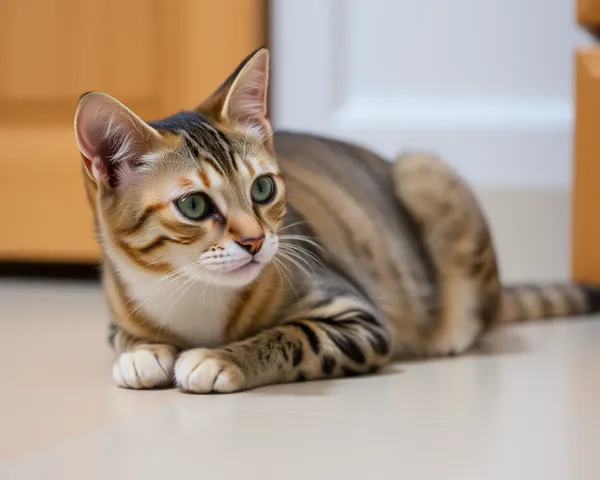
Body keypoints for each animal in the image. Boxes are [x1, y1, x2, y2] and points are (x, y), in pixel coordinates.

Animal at [74, 47, 600, 394]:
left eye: (262, 189)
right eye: (195, 206)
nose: (255, 241)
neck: (193, 294)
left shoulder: (359, 317)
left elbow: (292, 336)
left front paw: (220, 358)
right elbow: (123, 334)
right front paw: (142, 353)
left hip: (426, 172)